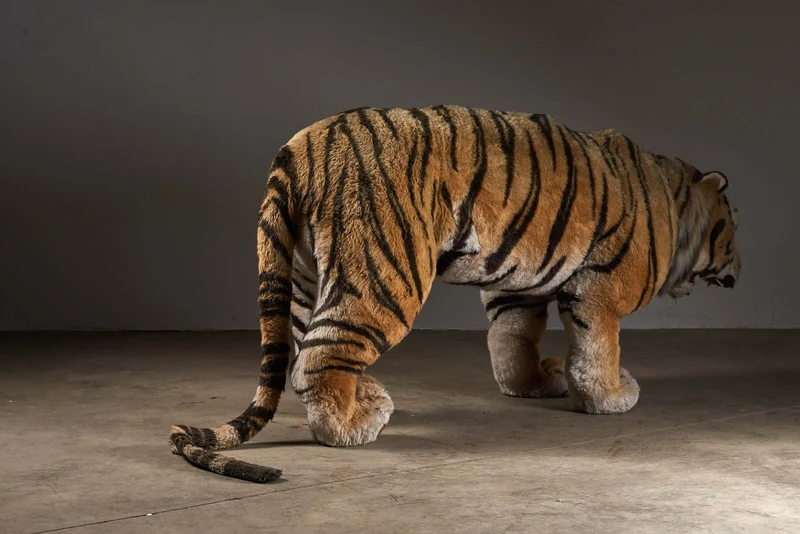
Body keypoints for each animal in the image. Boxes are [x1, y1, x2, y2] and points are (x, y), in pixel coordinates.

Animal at [169, 105, 741, 483]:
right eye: (733, 225)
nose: (740, 267)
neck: (672, 195)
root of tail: (297, 150)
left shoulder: (517, 286)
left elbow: (513, 339)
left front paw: (534, 385)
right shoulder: (601, 287)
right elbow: (599, 347)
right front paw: (614, 396)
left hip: (307, 275)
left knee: (302, 349)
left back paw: (363, 397)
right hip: (385, 272)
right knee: (320, 354)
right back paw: (353, 423)